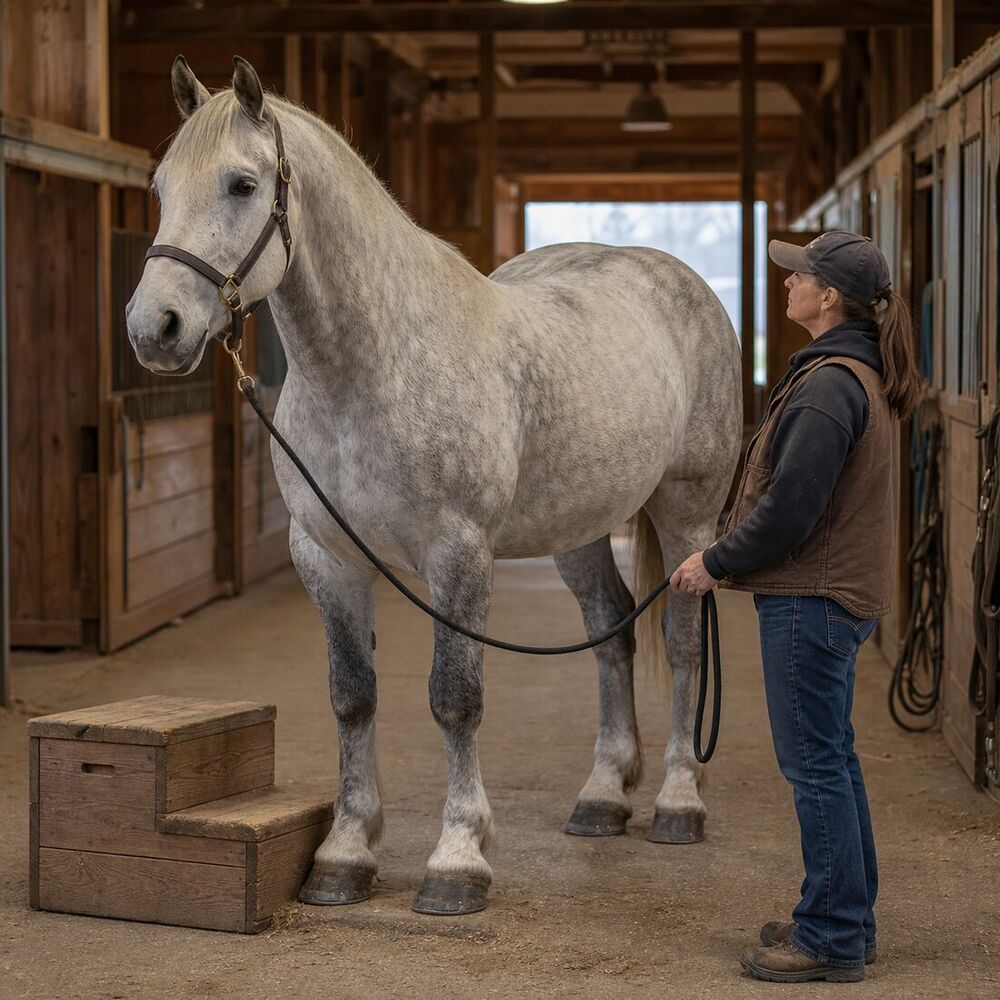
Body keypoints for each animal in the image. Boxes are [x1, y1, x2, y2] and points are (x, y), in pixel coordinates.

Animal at [126, 55, 742, 916]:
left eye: (242, 184)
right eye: (159, 187)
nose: (155, 330)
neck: (371, 367)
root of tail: (677, 281)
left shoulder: (459, 553)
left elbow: (455, 696)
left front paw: (458, 858)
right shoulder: (326, 556)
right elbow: (352, 695)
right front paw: (346, 853)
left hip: (688, 512)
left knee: (682, 641)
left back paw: (679, 801)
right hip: (582, 527)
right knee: (611, 632)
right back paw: (601, 795)